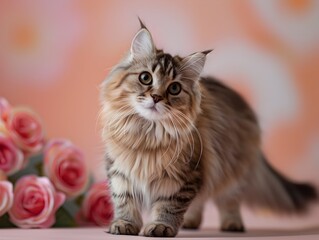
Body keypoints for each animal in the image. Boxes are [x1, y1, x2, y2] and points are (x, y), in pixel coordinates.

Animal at [100, 21, 318, 238]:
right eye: (145, 78)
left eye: (174, 89)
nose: (156, 97)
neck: (146, 135)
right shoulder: (120, 172)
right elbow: (124, 201)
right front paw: (124, 224)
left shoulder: (184, 177)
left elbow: (168, 206)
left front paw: (161, 226)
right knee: (200, 201)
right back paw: (190, 223)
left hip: (231, 173)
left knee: (228, 201)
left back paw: (232, 224)